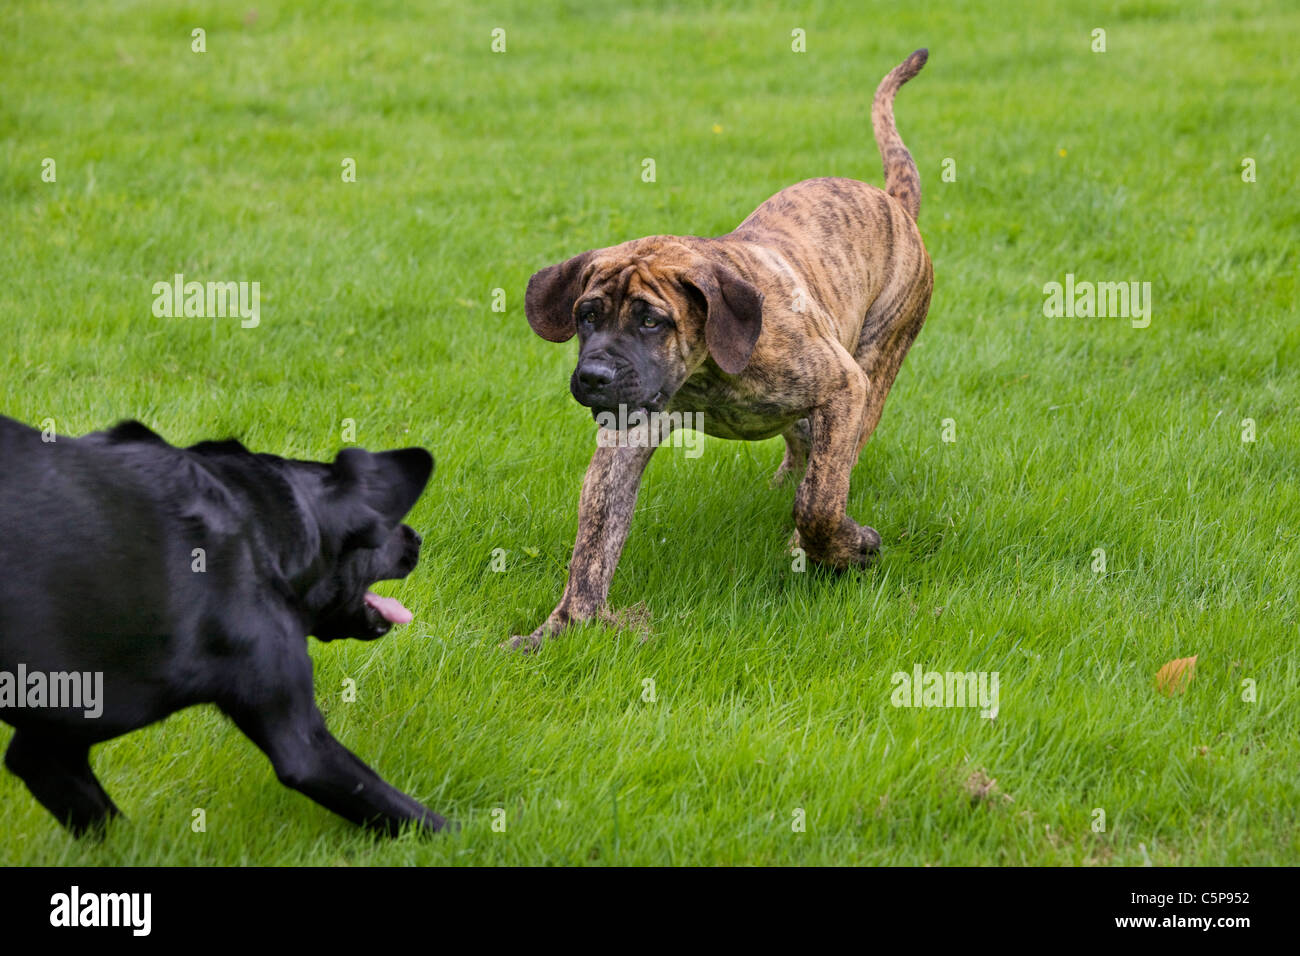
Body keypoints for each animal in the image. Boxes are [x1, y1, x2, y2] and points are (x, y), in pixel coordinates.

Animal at [0, 418, 447, 837]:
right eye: (386, 528)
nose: (418, 538)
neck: (258, 524)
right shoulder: (303, 746)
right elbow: (413, 814)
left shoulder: (49, 748)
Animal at [517, 50, 935, 650]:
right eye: (586, 315)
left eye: (651, 321)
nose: (594, 375)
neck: (704, 374)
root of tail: (892, 202)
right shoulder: (626, 436)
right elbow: (594, 538)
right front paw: (563, 626)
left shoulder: (841, 386)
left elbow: (820, 504)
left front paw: (846, 548)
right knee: (807, 451)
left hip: (876, 365)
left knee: (832, 468)